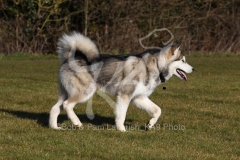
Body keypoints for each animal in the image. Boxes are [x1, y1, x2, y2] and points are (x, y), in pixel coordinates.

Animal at [48, 31, 193, 131]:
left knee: (55, 108)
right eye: (183, 60)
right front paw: (121, 129)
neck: (156, 65)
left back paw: (55, 127)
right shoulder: (124, 95)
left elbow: (158, 110)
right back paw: (77, 123)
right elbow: (121, 114)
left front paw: (150, 124)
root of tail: (68, 59)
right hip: (85, 92)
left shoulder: (139, 97)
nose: (193, 68)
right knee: (67, 105)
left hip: (67, 92)